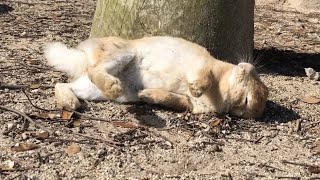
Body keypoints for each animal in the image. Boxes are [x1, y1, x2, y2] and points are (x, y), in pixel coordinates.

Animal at [45, 36, 268, 118]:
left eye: (246, 100)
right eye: (255, 80)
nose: (248, 67)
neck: (223, 90)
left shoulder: (188, 103)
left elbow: (172, 98)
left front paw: (147, 95)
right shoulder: (204, 65)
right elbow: (204, 77)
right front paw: (196, 88)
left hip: (94, 91)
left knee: (64, 84)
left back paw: (69, 102)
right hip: (123, 54)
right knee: (95, 70)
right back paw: (111, 85)